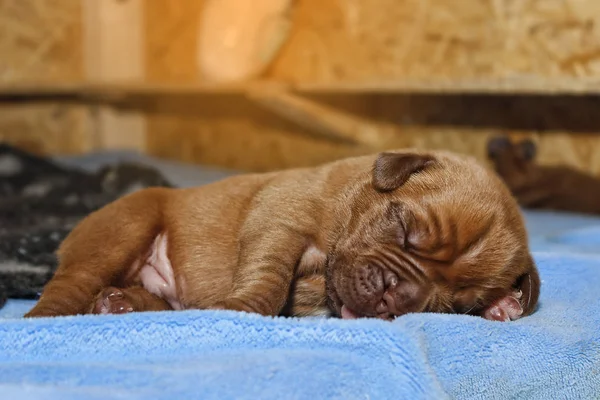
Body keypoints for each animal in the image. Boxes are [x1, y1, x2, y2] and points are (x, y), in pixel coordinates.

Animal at [24, 150, 540, 322]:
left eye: (457, 303)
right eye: (405, 228)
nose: (397, 295)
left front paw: (505, 304)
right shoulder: (280, 217)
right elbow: (268, 277)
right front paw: (240, 310)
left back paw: (120, 304)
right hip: (122, 229)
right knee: (68, 287)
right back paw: (42, 319)